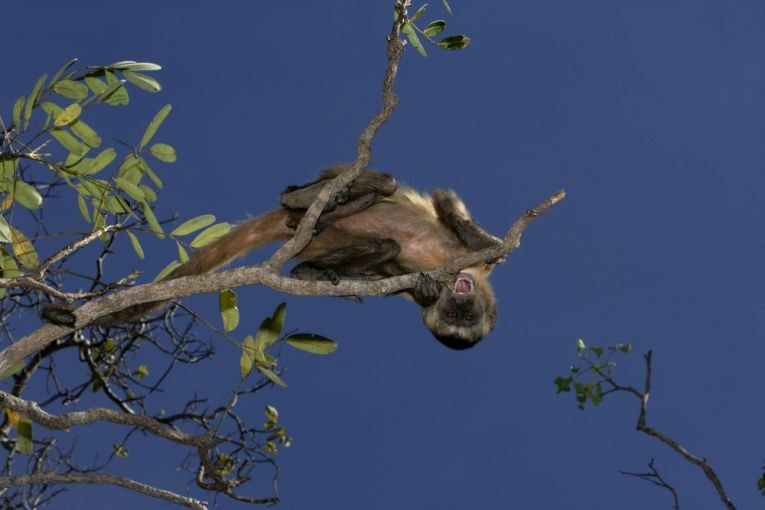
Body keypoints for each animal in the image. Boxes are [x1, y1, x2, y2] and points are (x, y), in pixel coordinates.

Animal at [44, 168, 503, 350]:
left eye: (463, 319)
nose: (458, 296)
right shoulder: (471, 261)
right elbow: (449, 205)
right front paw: (485, 242)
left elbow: (399, 275)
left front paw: (424, 291)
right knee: (383, 185)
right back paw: (302, 198)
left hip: (321, 238)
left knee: (383, 246)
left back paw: (308, 266)